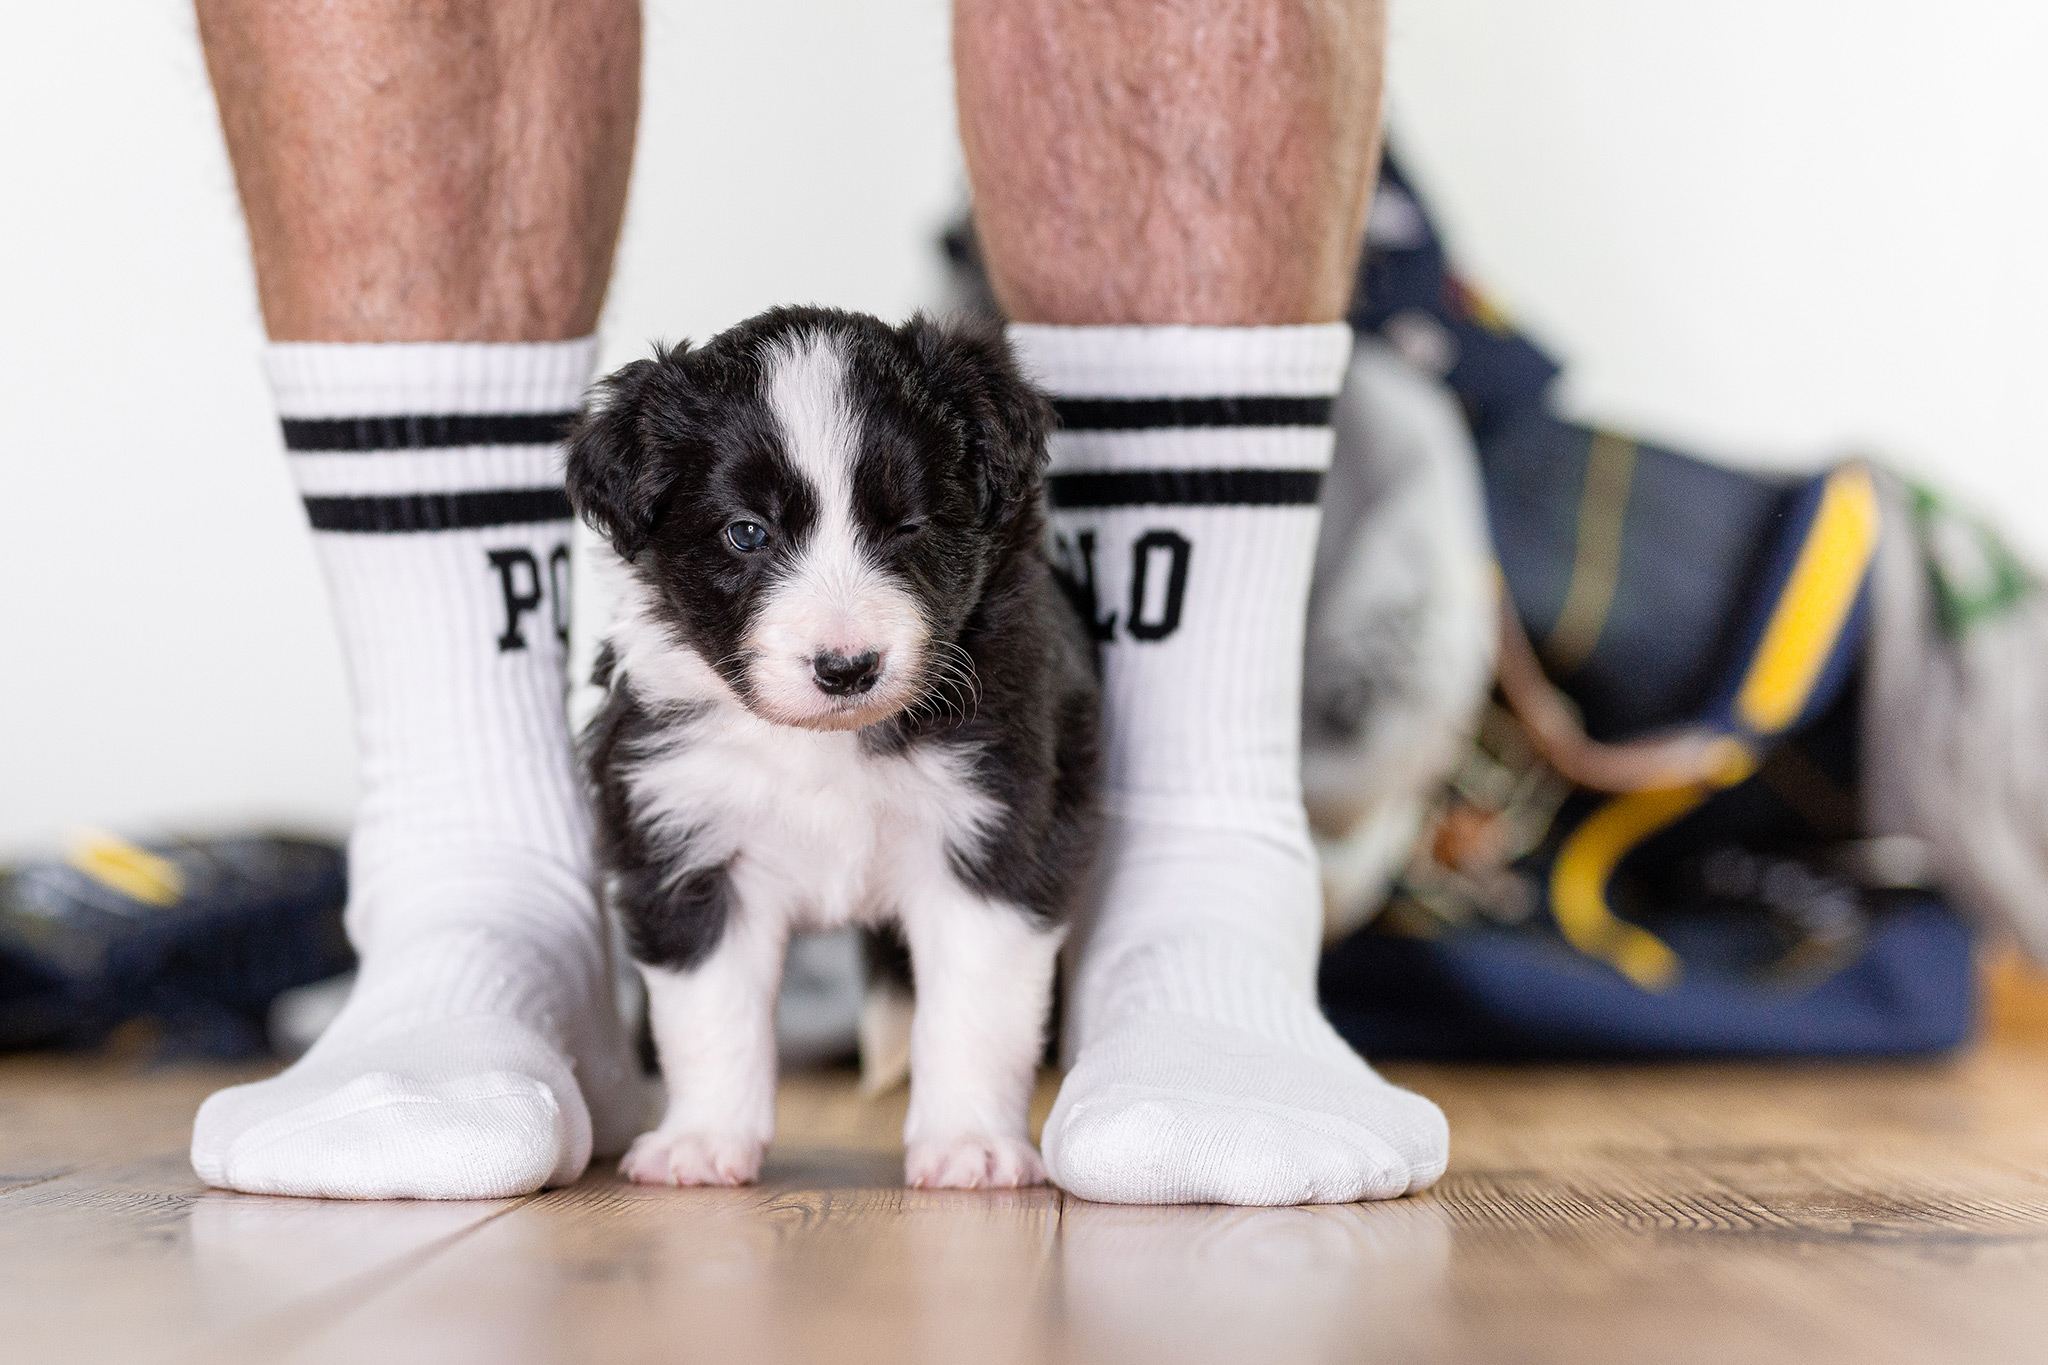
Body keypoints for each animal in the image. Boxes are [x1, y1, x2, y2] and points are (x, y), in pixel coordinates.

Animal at [561, 306, 1105, 1186]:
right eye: (747, 532)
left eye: (908, 525)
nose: (846, 667)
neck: (823, 746)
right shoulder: (686, 835)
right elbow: (709, 1012)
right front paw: (702, 1140)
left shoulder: (997, 829)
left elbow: (977, 1008)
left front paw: (970, 1143)